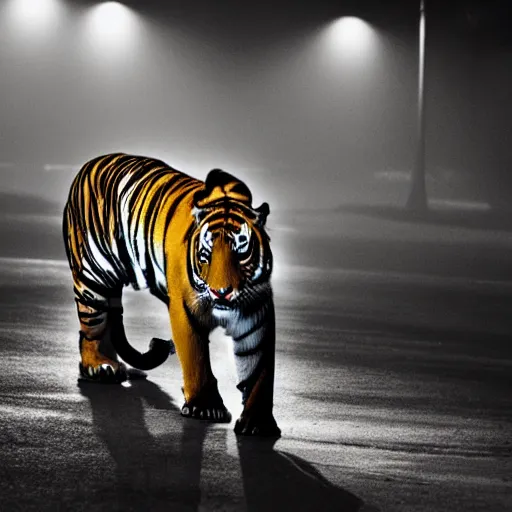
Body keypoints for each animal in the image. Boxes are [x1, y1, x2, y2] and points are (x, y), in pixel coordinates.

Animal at [63, 152, 282, 436]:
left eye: (241, 252)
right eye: (206, 255)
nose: (221, 293)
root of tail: (89, 165)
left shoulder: (257, 314)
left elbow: (260, 370)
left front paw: (258, 423)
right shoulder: (185, 309)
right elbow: (196, 359)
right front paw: (206, 407)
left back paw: (119, 367)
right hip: (93, 276)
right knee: (91, 331)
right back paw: (100, 367)